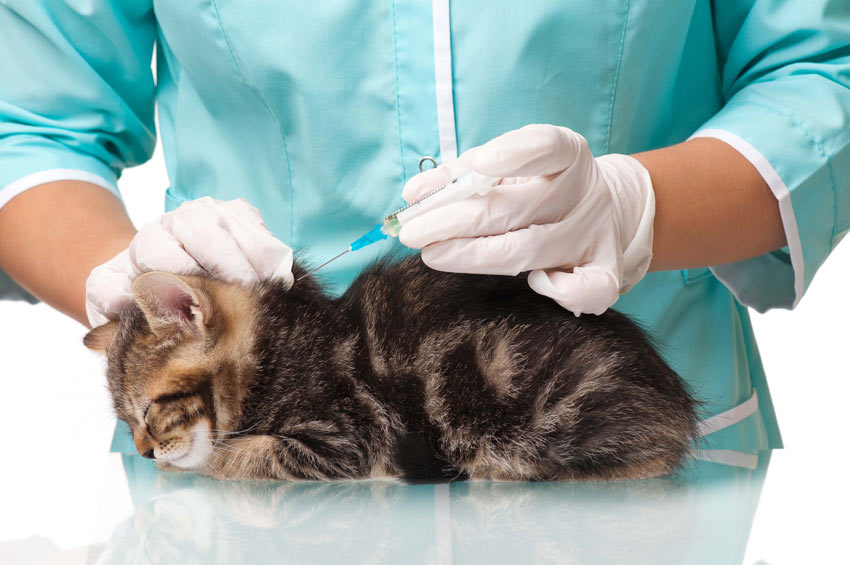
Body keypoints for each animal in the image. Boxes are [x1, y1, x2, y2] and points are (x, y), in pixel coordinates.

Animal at [86, 256, 696, 480]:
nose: (144, 452)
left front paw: (207, 460)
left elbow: (240, 453)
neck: (277, 352)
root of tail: (675, 408)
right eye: (125, 423)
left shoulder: (345, 433)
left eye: (148, 410)